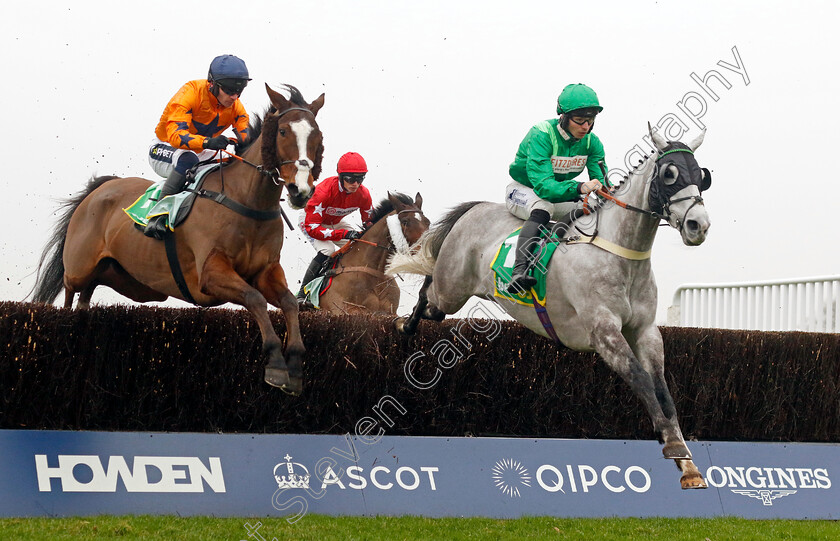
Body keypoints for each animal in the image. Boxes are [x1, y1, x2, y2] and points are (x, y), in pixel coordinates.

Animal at [30, 85, 324, 396]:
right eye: (283, 131)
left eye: (317, 135)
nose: (300, 190)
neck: (246, 200)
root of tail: (101, 187)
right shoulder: (210, 274)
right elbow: (255, 299)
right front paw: (276, 364)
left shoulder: (266, 270)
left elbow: (290, 303)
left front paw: (294, 365)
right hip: (79, 268)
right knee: (70, 292)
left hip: (118, 275)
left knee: (87, 295)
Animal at [390, 126, 712, 490]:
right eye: (670, 174)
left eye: (701, 175)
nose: (698, 225)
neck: (617, 252)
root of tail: (475, 209)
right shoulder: (603, 332)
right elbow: (640, 379)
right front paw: (673, 447)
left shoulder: (645, 331)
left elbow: (662, 390)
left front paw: (688, 465)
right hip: (452, 289)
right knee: (430, 292)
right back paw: (404, 325)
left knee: (433, 301)